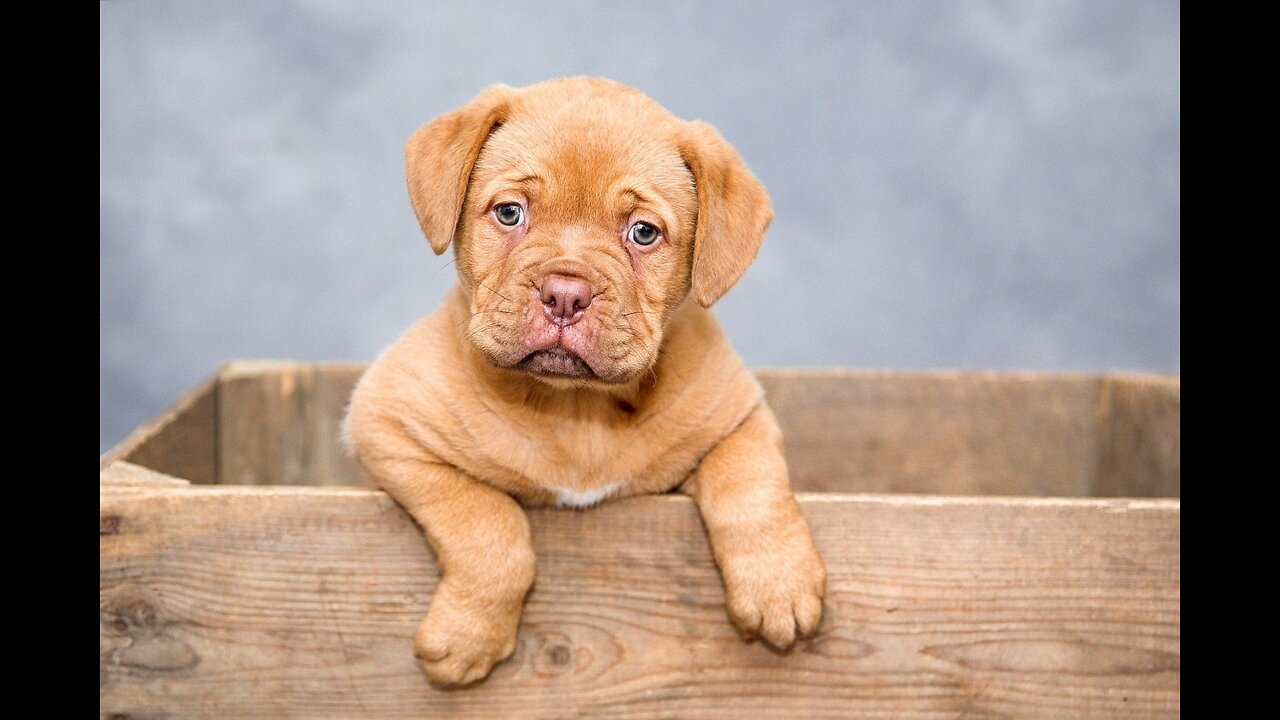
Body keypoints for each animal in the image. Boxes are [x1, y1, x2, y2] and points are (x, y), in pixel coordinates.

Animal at [348, 77, 829, 681]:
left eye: (643, 232)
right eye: (510, 213)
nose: (565, 294)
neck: (577, 409)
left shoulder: (739, 415)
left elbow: (750, 482)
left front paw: (777, 586)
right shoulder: (387, 422)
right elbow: (488, 523)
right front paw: (469, 637)